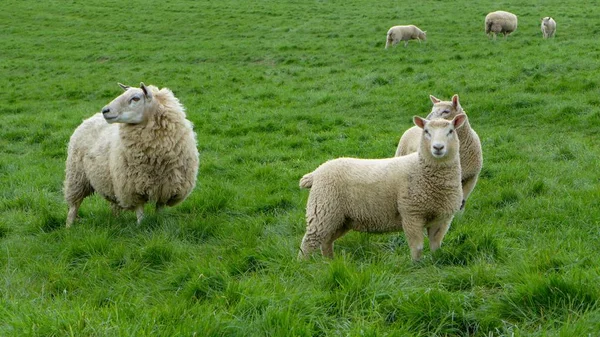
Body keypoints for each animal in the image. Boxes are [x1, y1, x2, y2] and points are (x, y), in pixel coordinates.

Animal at [64, 82, 199, 227]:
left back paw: (116, 220)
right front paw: (140, 226)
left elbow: (159, 209)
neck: (156, 159)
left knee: (114, 205)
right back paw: (69, 226)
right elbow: (140, 212)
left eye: (135, 98)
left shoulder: (166, 188)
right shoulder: (132, 188)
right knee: (74, 206)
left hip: (109, 181)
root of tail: (89, 118)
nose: (105, 110)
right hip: (76, 176)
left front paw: (160, 223)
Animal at [298, 113, 466, 260]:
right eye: (426, 132)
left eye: (450, 131)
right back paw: (303, 264)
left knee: (326, 241)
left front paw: (435, 261)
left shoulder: (443, 218)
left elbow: (436, 245)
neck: (421, 169)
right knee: (309, 242)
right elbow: (417, 247)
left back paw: (330, 262)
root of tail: (317, 171)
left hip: (341, 219)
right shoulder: (411, 214)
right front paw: (416, 264)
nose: (438, 147)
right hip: (323, 210)